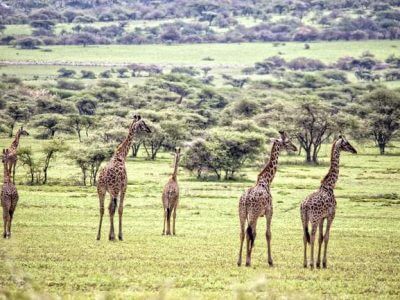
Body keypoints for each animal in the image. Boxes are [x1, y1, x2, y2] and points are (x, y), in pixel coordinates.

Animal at [238, 131, 296, 268]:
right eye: (287, 142)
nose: (295, 148)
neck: (266, 181)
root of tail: (246, 199)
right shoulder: (269, 212)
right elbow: (268, 234)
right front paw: (270, 261)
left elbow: (255, 234)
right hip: (253, 214)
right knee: (249, 233)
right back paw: (247, 260)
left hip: (242, 213)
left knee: (243, 233)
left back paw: (239, 261)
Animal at [300, 135, 356, 268]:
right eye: (346, 144)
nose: (354, 150)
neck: (330, 186)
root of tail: (305, 205)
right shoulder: (331, 216)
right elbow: (326, 237)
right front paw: (323, 263)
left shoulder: (322, 218)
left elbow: (321, 238)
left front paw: (319, 262)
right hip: (313, 219)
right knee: (312, 237)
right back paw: (310, 263)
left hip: (304, 219)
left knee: (305, 237)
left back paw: (305, 263)